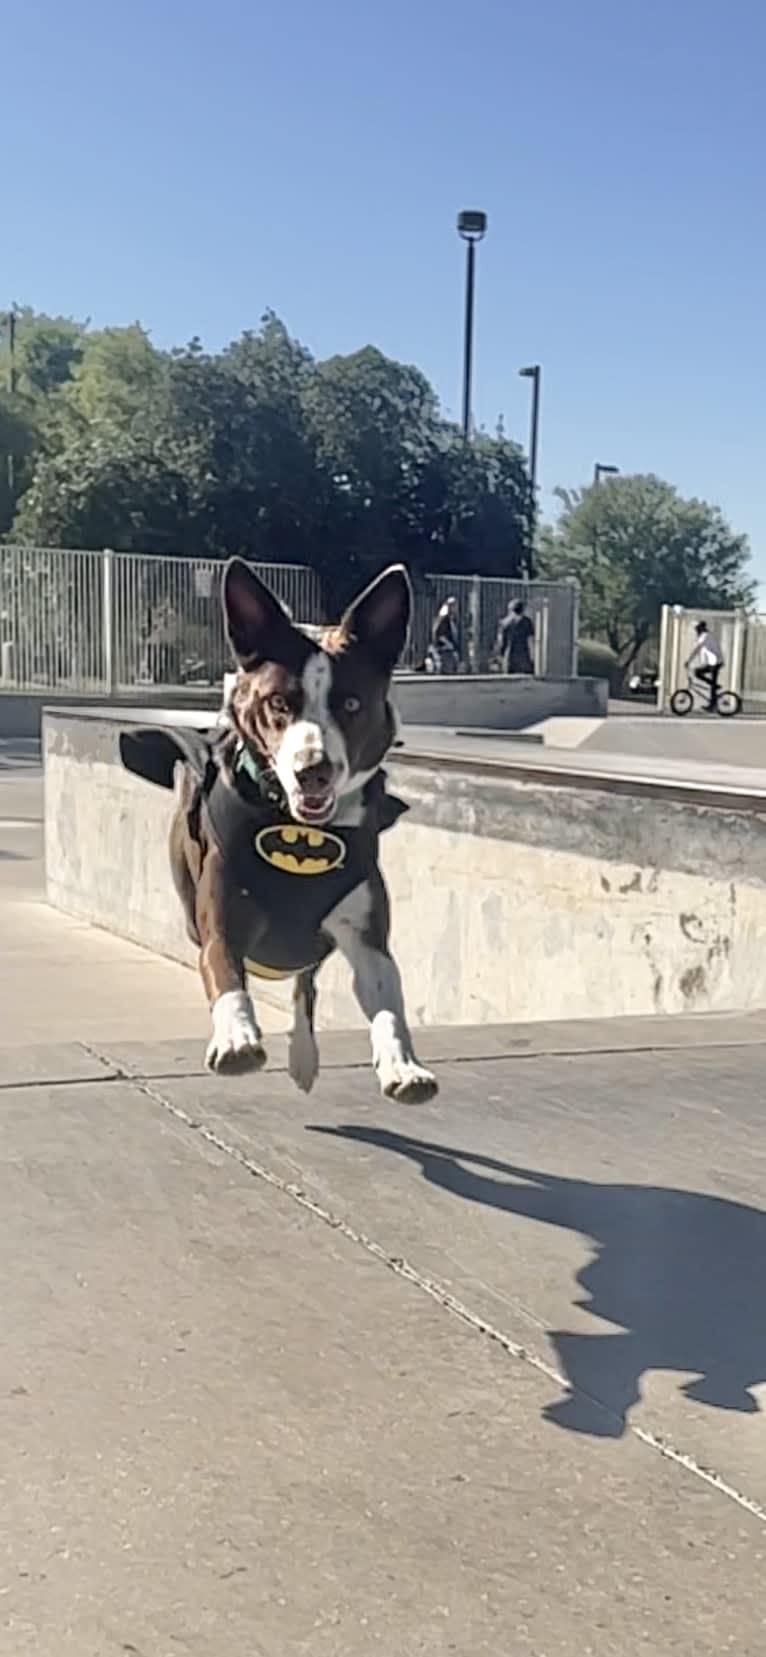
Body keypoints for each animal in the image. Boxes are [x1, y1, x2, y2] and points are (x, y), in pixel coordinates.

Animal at [123, 556, 441, 1100]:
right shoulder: (221, 919)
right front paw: (236, 1036)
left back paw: (304, 1057)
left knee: (305, 983)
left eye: (351, 704)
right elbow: (226, 973)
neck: (299, 826)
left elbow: (387, 1003)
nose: (313, 769)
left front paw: (403, 1064)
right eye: (278, 703)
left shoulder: (367, 936)